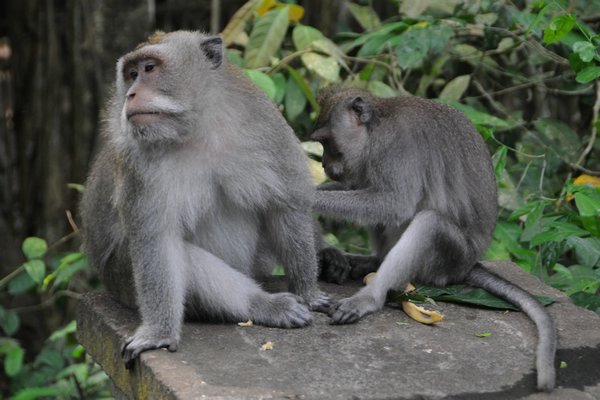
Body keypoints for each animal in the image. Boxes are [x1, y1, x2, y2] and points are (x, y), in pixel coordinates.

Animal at [79, 31, 328, 368]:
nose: (130, 94)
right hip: (119, 282)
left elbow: (283, 204)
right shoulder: (139, 163)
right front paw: (159, 333)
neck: (196, 129)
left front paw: (308, 290)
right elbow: (157, 242)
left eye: (149, 68)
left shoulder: (261, 120)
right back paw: (261, 304)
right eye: (131, 74)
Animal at [312, 87, 556, 390]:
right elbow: (365, 193)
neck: (377, 126)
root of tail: (468, 266)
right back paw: (370, 262)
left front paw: (306, 196)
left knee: (429, 223)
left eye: (327, 143)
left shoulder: (397, 148)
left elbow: (393, 203)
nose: (323, 164)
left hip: (450, 259)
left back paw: (370, 298)